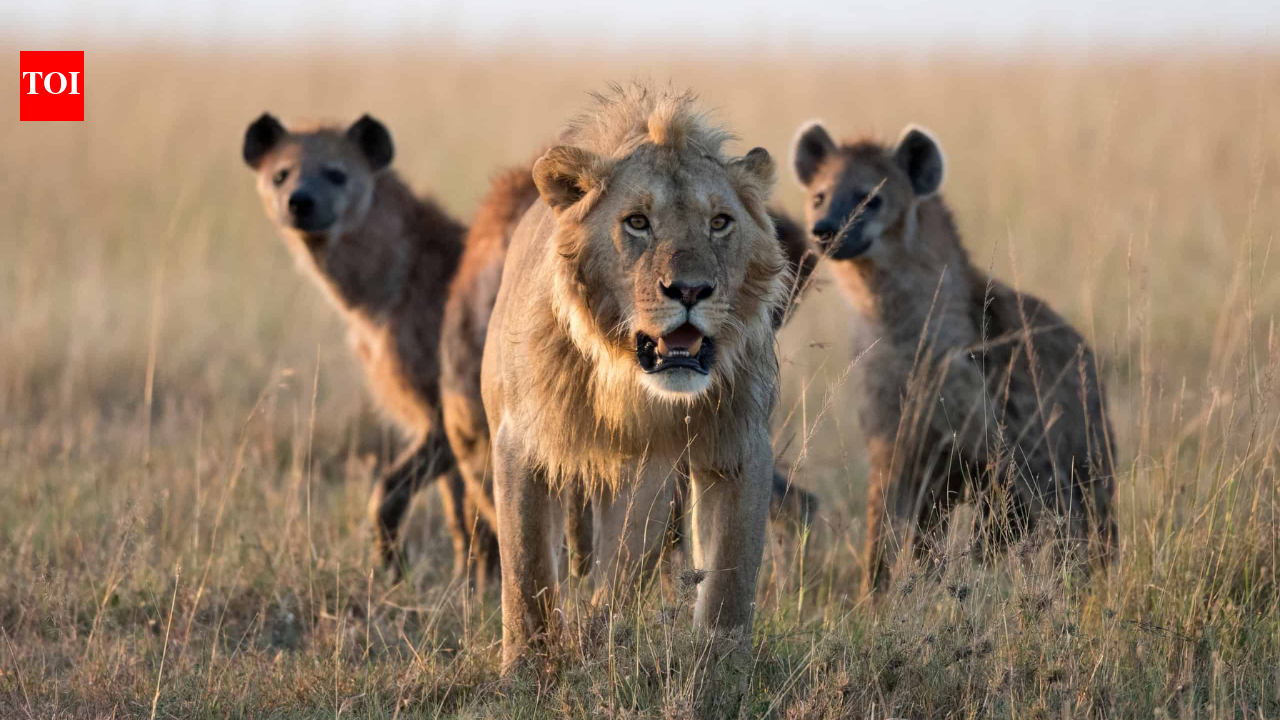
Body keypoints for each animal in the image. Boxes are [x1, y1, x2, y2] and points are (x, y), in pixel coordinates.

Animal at [480, 85, 790, 669]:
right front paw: (526, 669)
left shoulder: (737, 445)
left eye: (720, 222)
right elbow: (526, 571)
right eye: (638, 222)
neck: (632, 386)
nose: (690, 290)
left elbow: (730, 582)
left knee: (618, 578)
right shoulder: (520, 441)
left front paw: (722, 670)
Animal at [790, 121, 1117, 596]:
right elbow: (885, 533)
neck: (905, 336)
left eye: (871, 198)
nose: (824, 229)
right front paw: (875, 599)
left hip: (1086, 458)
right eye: (819, 195)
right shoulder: (894, 442)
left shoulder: (1007, 449)